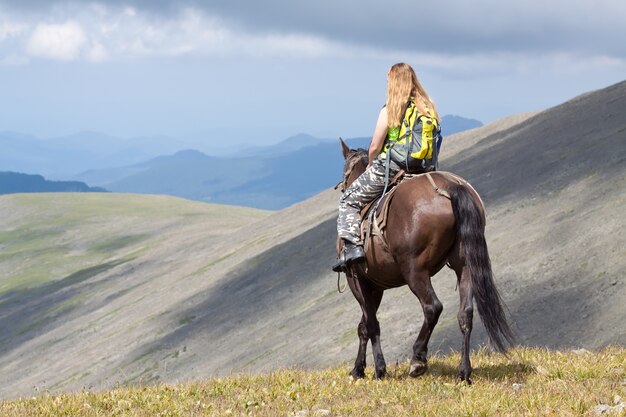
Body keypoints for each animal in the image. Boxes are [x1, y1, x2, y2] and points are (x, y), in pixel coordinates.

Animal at [336, 138, 512, 382]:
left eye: (345, 173)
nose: (343, 188)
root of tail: (449, 187)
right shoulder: (375, 286)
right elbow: (364, 325)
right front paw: (358, 369)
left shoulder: (357, 279)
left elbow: (371, 324)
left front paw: (379, 370)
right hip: (464, 264)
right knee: (465, 313)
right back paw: (463, 372)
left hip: (414, 270)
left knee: (432, 308)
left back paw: (418, 359)